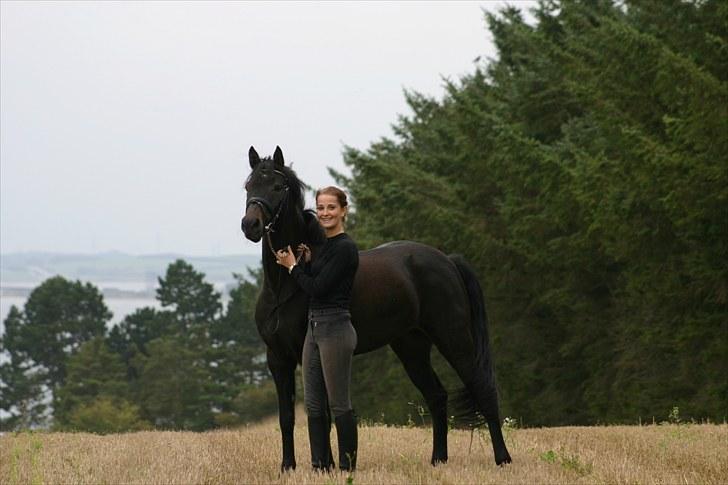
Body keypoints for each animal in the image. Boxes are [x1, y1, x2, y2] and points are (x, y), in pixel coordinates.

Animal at [240, 146, 512, 466]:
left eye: (277, 186)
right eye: (249, 186)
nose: (251, 225)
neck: (283, 288)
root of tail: (447, 260)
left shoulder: (307, 354)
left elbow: (324, 414)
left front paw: (327, 465)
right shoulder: (278, 359)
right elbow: (286, 419)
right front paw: (288, 467)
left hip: (454, 339)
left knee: (482, 388)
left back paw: (503, 459)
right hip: (411, 347)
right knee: (437, 396)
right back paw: (438, 460)